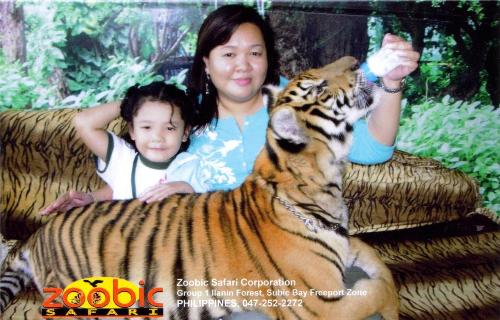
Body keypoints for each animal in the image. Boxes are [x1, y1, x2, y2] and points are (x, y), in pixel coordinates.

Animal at [0, 57, 398, 320]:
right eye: (317, 87)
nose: (355, 60)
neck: (326, 181)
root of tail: (38, 234)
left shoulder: (344, 244)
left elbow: (381, 267)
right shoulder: (321, 303)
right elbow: (374, 293)